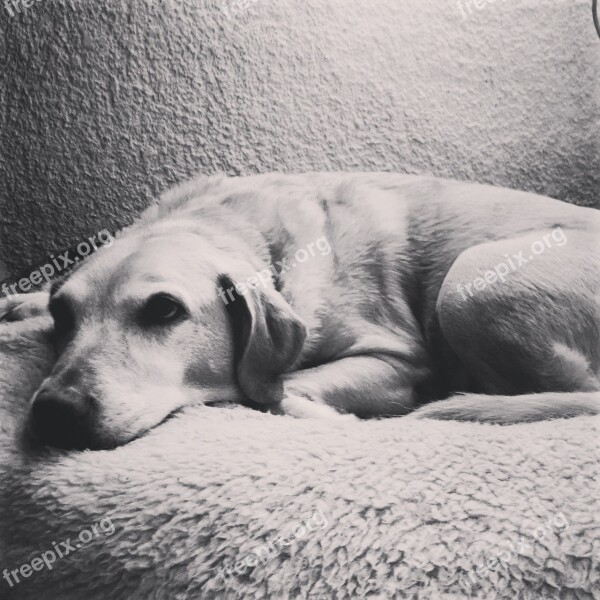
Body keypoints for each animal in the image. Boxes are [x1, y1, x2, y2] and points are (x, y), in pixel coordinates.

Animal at [1, 171, 600, 448]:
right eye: (65, 317)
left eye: (164, 311)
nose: (53, 410)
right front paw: (20, 302)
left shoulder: (398, 361)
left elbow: (276, 389)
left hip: (470, 277)